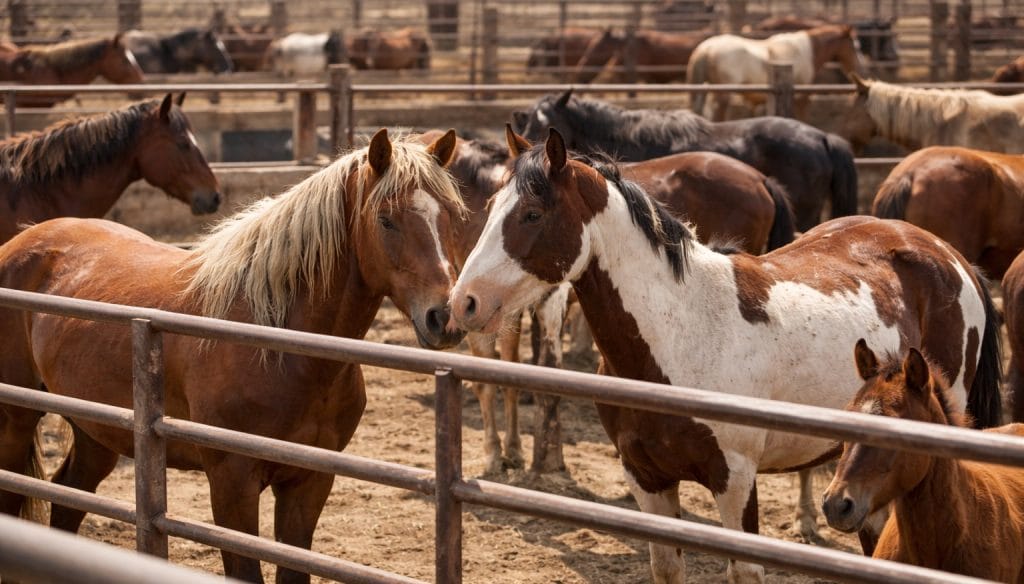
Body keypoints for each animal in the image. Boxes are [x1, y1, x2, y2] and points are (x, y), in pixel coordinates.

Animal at [0, 129, 463, 583]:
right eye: (386, 219)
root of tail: (23, 241)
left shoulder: (311, 481)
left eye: (451, 217)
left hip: (96, 433)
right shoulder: (231, 482)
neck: (277, 344)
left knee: (67, 502)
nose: (444, 316)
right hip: (17, 420)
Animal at [688, 24, 862, 120]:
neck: (807, 51)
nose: (857, 67)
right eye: (853, 46)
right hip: (723, 94)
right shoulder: (801, 96)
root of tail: (706, 48)